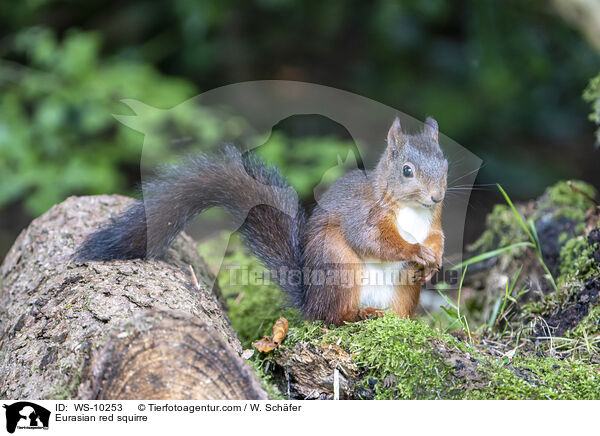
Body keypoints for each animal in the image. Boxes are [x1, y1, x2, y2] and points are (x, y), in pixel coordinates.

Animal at [77, 116, 448, 324]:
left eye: (445, 164)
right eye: (407, 171)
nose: (437, 197)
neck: (413, 210)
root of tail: (309, 299)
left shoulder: (434, 224)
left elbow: (438, 239)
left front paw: (434, 260)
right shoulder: (364, 214)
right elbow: (374, 241)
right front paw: (415, 251)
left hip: (403, 290)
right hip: (339, 267)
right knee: (329, 318)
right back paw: (356, 314)